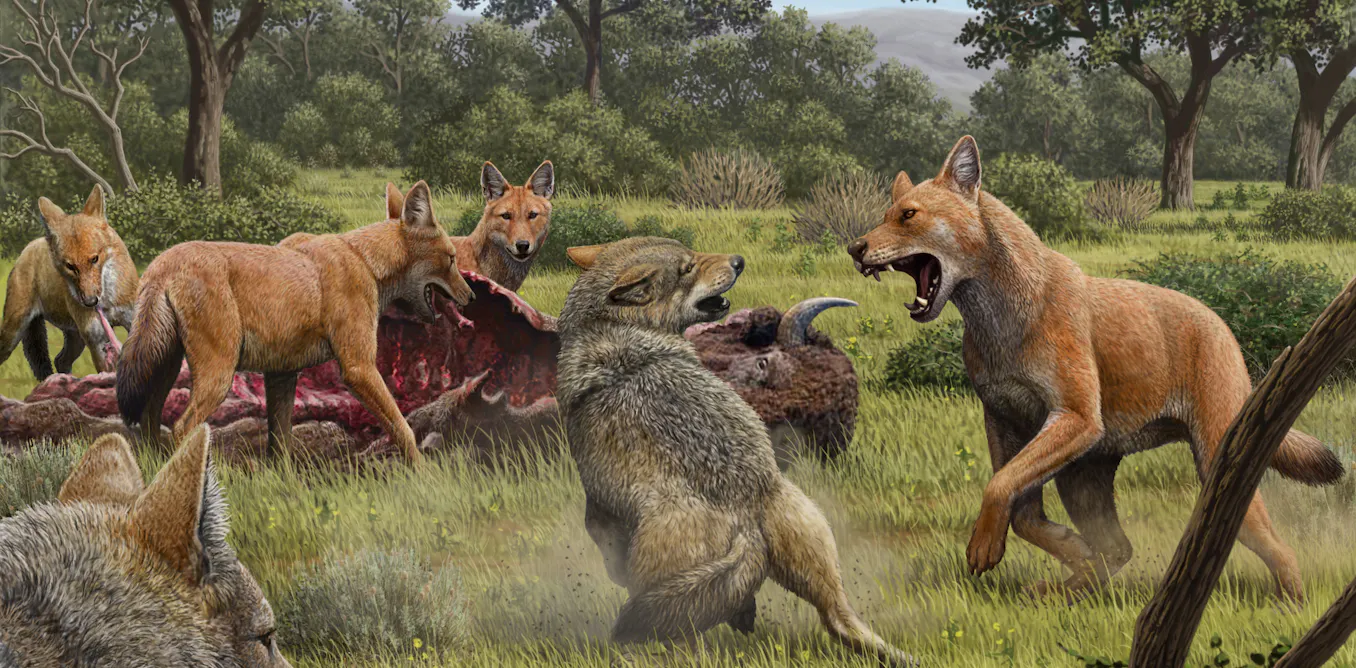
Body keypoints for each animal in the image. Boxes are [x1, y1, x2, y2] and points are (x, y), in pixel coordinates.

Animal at [0, 186, 136, 379]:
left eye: (94, 259)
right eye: (70, 266)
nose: (90, 302)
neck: (108, 302)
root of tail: (29, 246)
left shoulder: (132, 321)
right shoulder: (96, 339)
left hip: (75, 339)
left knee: (60, 360)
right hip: (13, 332)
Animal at [117, 181, 474, 464]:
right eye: (452, 258)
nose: (471, 295)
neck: (364, 261)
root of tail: (163, 262)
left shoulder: (281, 375)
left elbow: (281, 446)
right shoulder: (358, 368)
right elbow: (403, 429)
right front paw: (424, 477)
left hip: (166, 370)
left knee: (148, 423)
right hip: (217, 376)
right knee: (181, 428)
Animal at [556, 236, 913, 666]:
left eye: (689, 255)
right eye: (687, 267)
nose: (740, 261)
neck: (611, 329)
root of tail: (744, 513)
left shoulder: (600, 505)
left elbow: (611, 560)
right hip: (814, 543)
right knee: (839, 620)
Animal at [848, 135, 1344, 602]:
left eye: (908, 215)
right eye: (885, 215)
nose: (854, 248)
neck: (1002, 321)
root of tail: (1222, 326)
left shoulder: (1074, 417)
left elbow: (1000, 488)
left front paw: (985, 547)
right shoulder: (1005, 420)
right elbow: (1021, 509)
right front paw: (1069, 551)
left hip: (1217, 464)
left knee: (1278, 549)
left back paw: (1291, 606)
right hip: (1082, 477)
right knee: (1120, 548)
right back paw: (1066, 588)